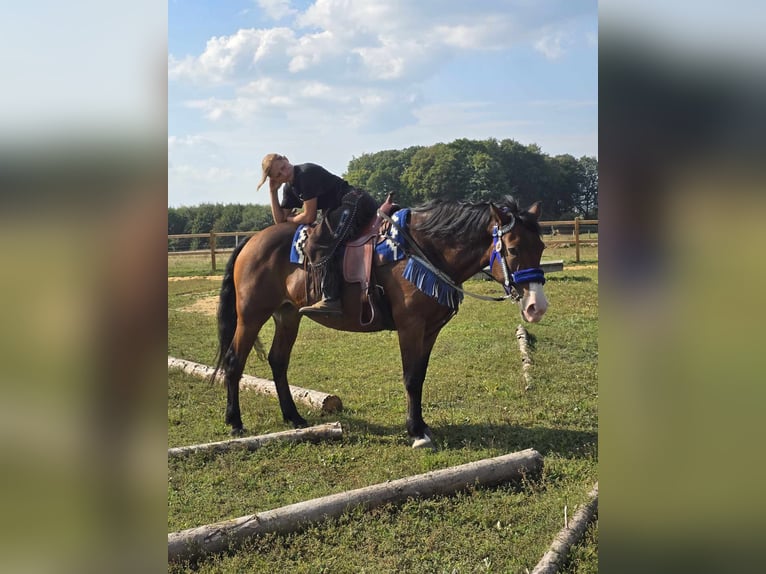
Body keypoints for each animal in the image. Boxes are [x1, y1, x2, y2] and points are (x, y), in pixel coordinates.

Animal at [213, 198, 548, 450]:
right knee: (234, 361)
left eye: (542, 247)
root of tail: (252, 240)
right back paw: (235, 422)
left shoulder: (430, 330)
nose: (537, 307)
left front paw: (422, 424)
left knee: (278, 361)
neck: (422, 252)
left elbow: (420, 377)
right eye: (514, 249)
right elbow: (410, 378)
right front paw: (416, 432)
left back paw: (294, 417)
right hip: (252, 315)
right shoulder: (411, 326)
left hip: (287, 315)